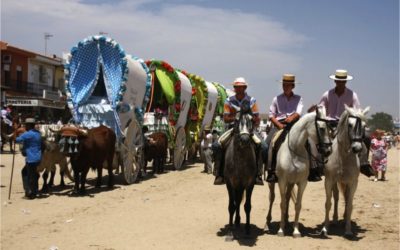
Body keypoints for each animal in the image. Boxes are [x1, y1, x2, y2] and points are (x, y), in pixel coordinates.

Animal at [223, 102, 258, 239]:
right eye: (237, 120)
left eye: (252, 120)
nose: (244, 140)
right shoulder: (230, 183)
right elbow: (231, 206)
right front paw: (229, 232)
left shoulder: (249, 183)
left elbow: (247, 206)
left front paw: (247, 230)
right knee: (236, 202)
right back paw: (235, 223)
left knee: (238, 201)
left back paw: (238, 222)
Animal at [276, 106, 332, 238]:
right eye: (322, 128)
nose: (328, 151)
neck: (294, 151)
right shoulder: (282, 181)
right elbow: (282, 204)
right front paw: (280, 230)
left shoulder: (302, 183)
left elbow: (297, 205)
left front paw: (296, 230)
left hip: (291, 183)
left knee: (288, 198)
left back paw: (287, 222)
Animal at [320, 104, 370, 237]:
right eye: (350, 125)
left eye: (364, 126)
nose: (357, 148)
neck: (343, 157)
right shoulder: (329, 181)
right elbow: (328, 203)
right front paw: (325, 228)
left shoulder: (353, 182)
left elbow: (350, 205)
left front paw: (348, 230)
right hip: (335, 182)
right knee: (336, 197)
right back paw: (335, 219)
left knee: (346, 199)